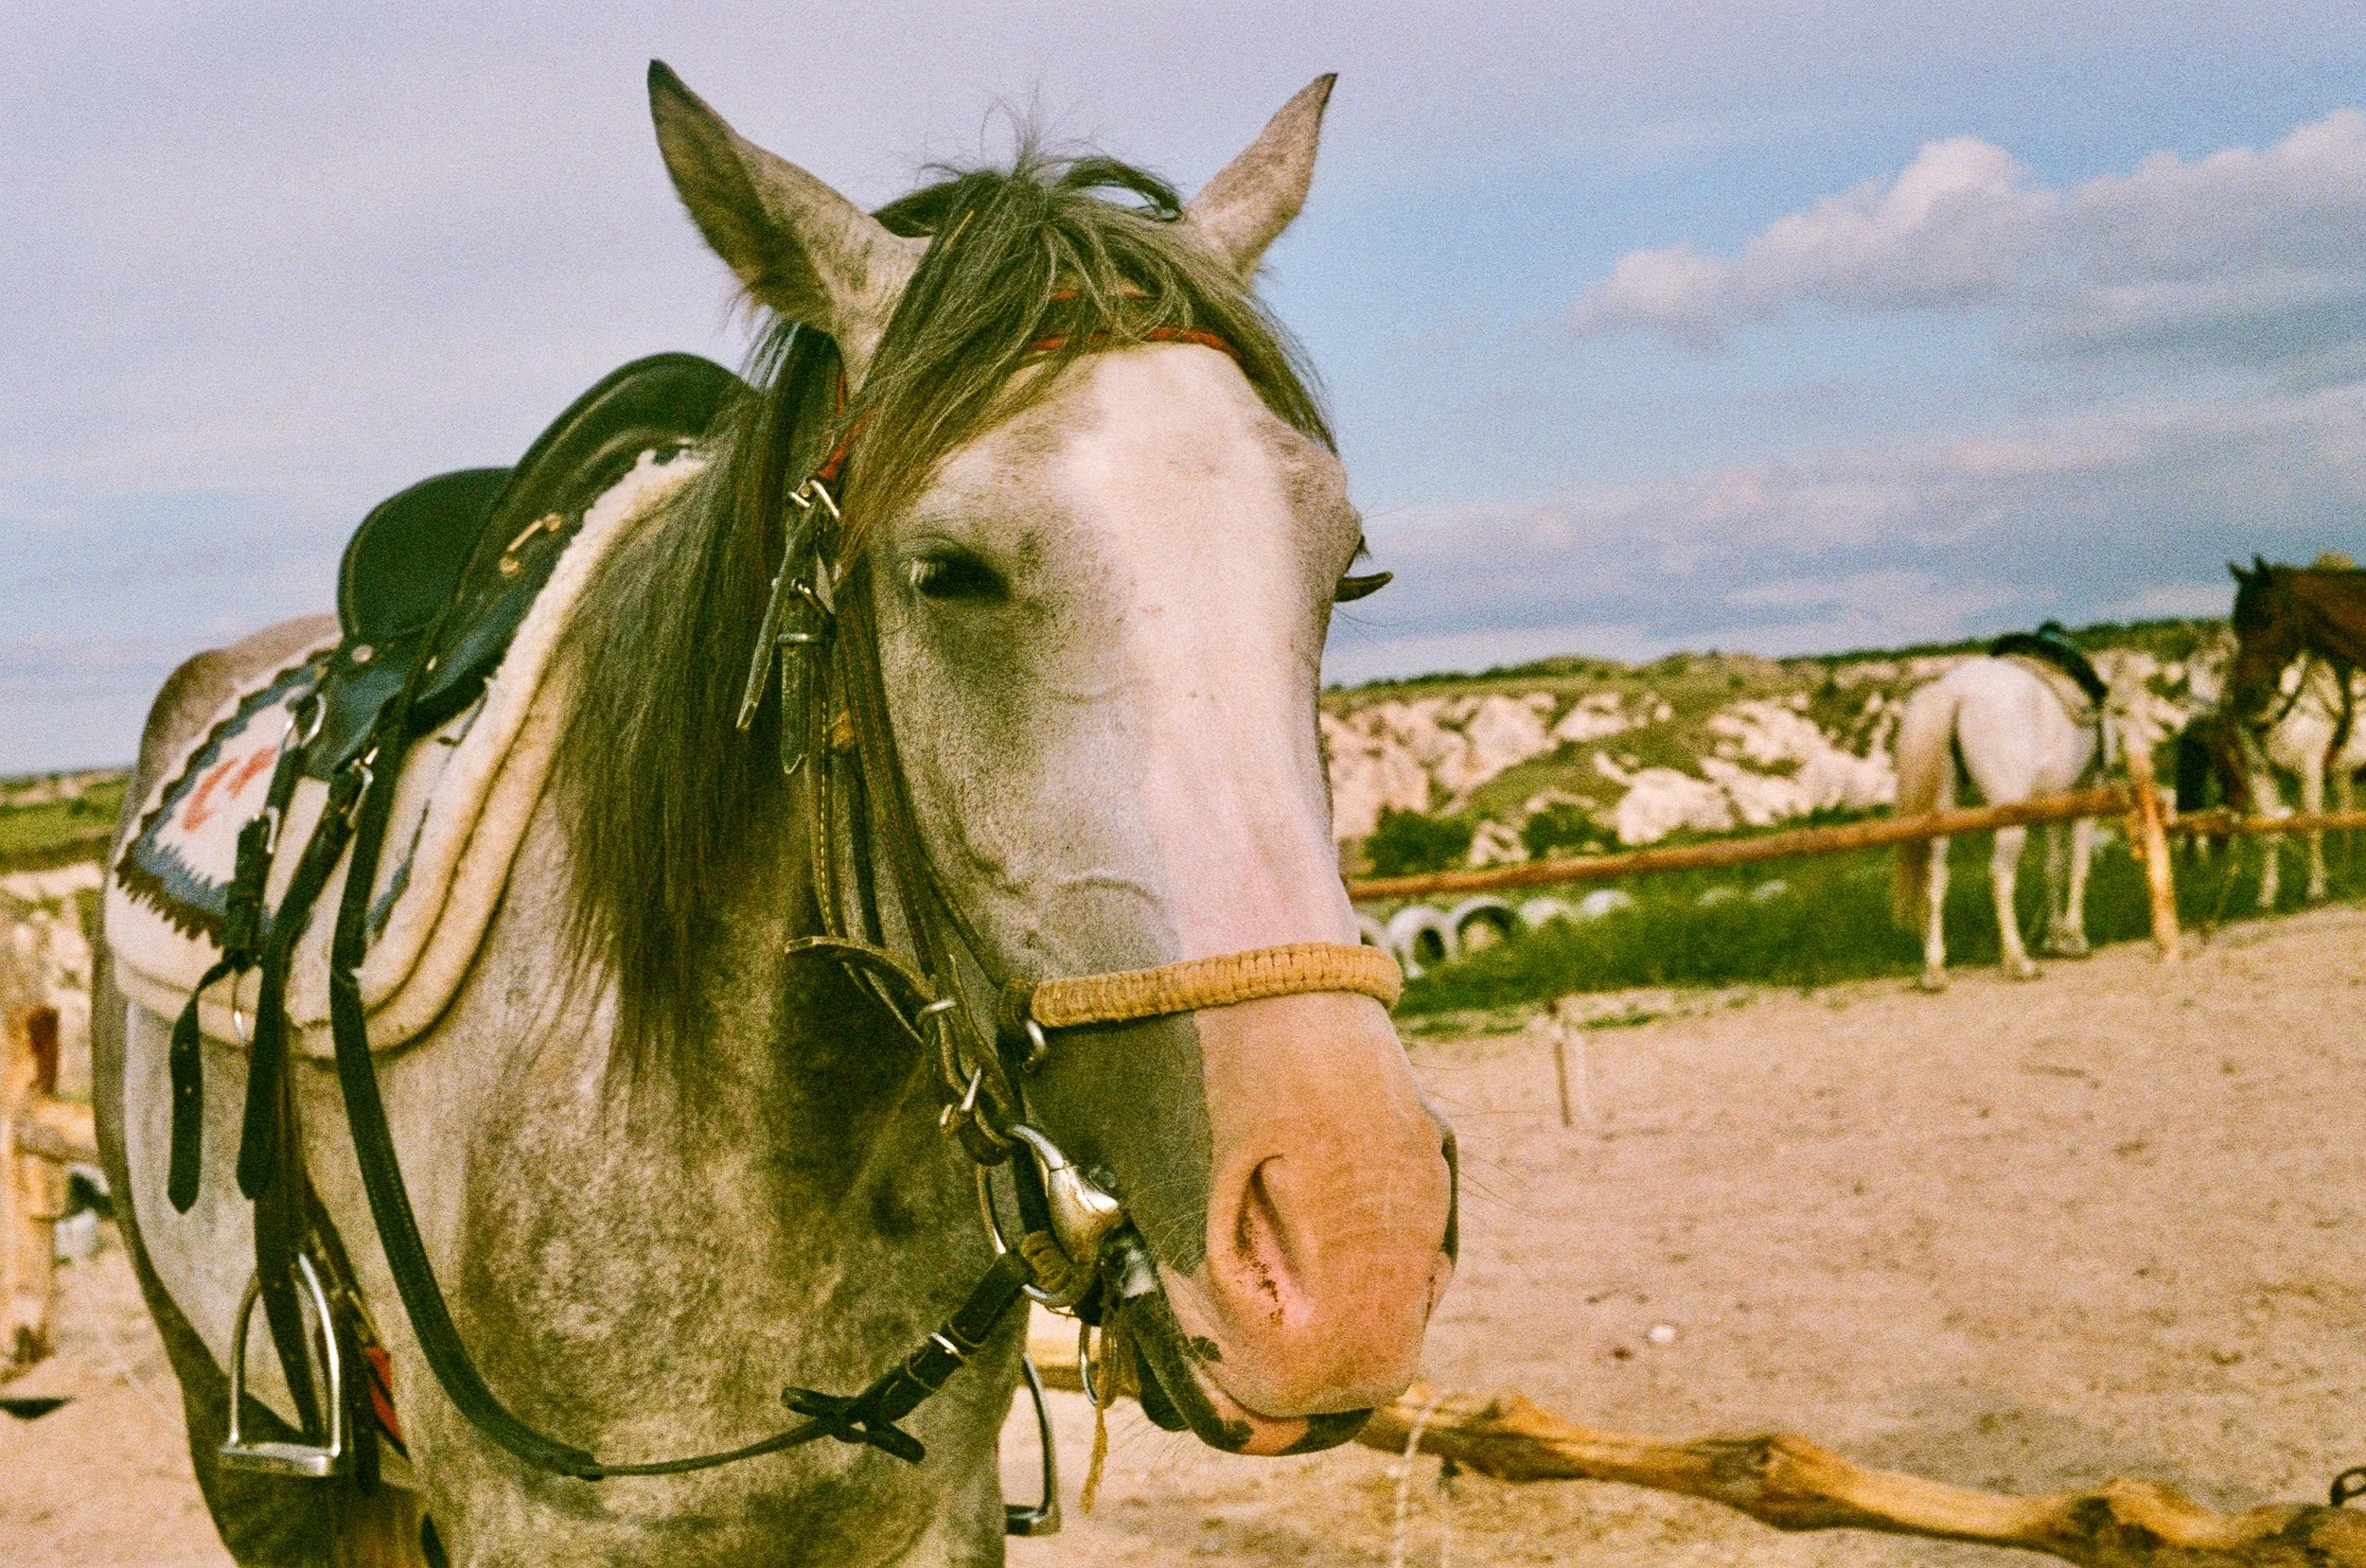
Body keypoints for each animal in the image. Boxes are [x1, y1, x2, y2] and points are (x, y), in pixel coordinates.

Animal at [1891, 654, 2116, 988]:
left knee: (1936, 877)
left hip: (1942, 813)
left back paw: (1934, 970)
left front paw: (2056, 938)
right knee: (2000, 875)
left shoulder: (2053, 805)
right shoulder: (2086, 799)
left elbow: (2054, 869)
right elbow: (2079, 867)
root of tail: (1954, 692)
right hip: (2009, 819)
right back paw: (2018, 961)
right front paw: (2075, 938)